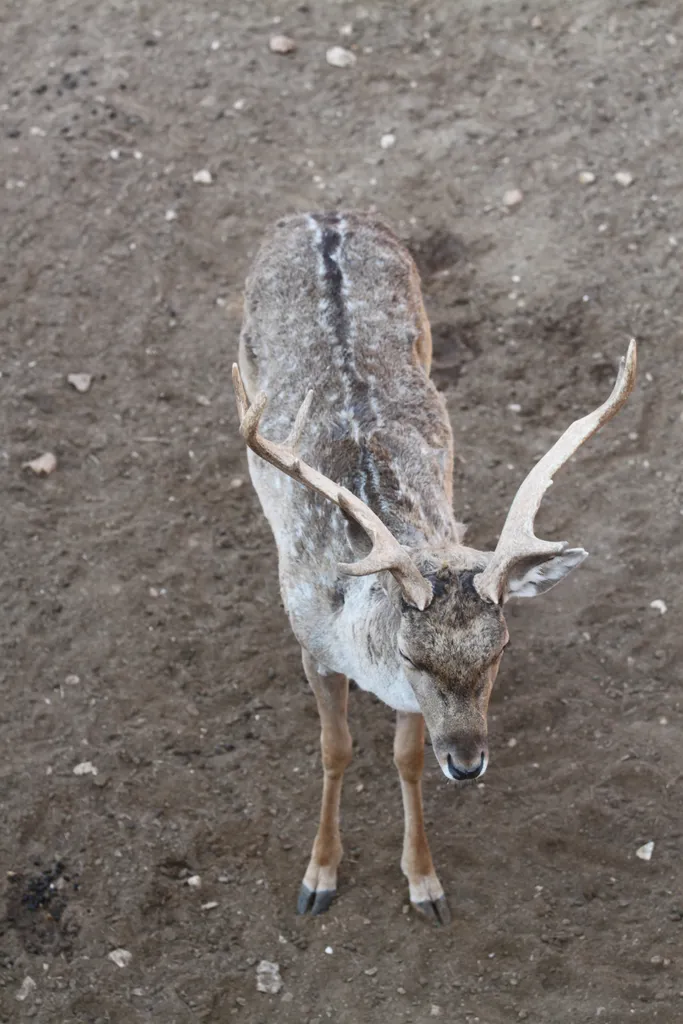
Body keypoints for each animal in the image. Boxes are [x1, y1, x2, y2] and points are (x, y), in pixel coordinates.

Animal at [232, 210, 636, 924]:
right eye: (410, 654)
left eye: (500, 649)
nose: (469, 763)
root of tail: (321, 214)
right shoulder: (311, 642)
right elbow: (334, 749)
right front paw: (318, 876)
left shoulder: (413, 707)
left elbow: (408, 759)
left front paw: (424, 884)